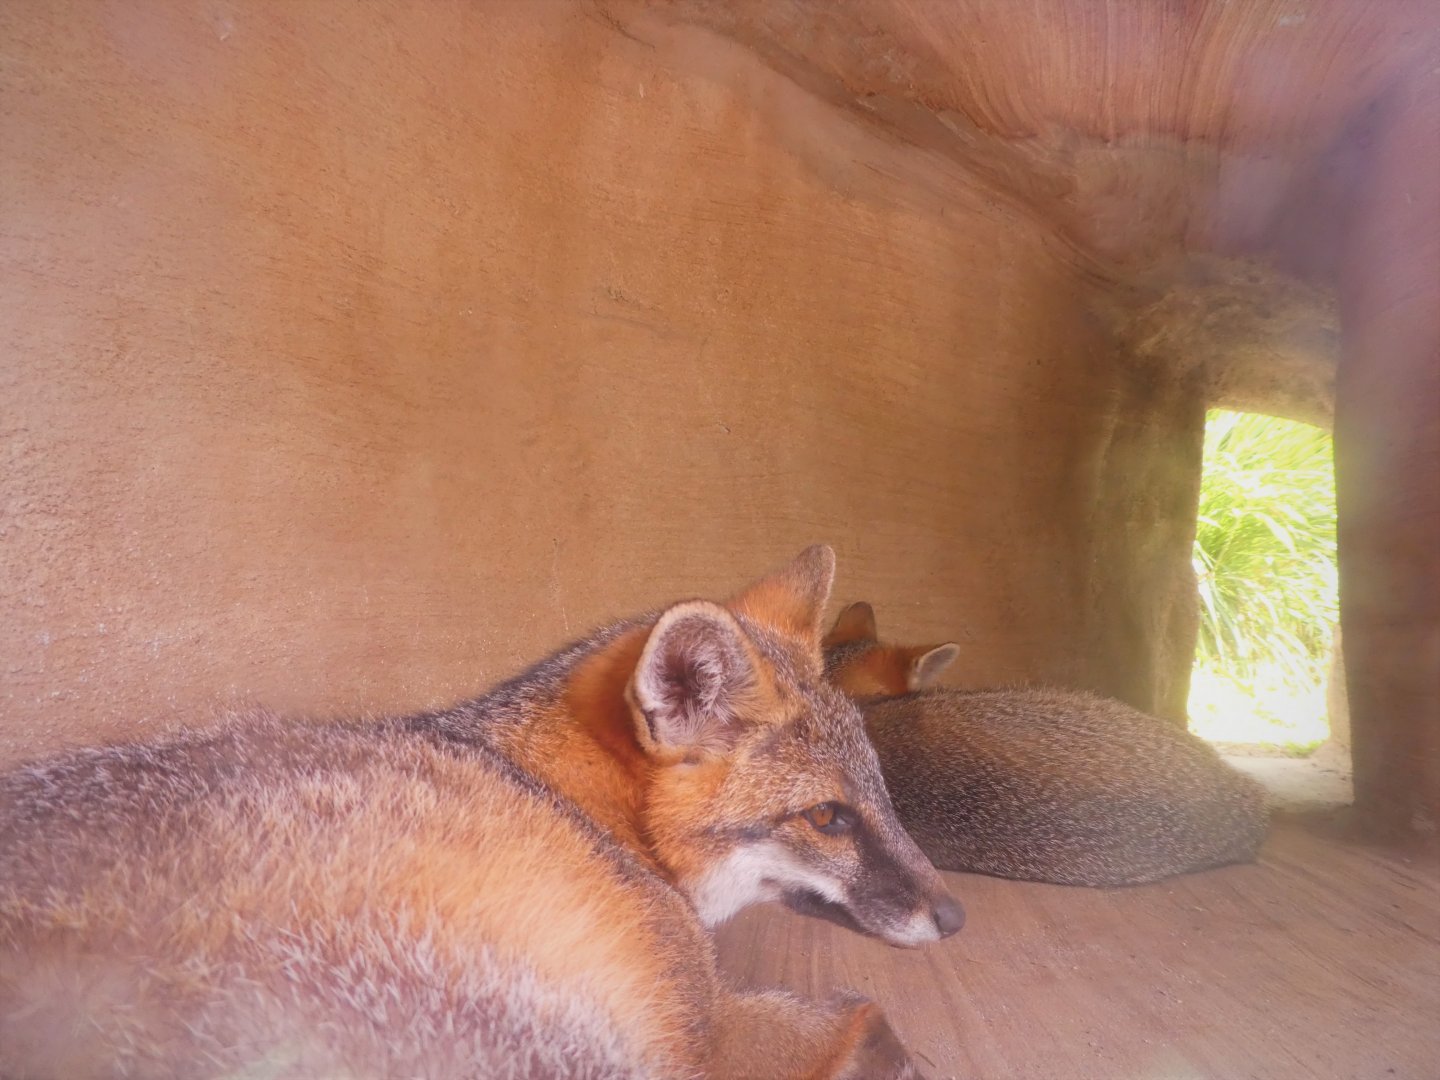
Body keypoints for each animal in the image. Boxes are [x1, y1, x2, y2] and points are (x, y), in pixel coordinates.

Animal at [0, 547, 963, 1080]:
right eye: (829, 818)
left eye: (880, 792)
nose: (956, 916)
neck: (571, 804)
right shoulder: (705, 1033)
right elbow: (869, 1016)